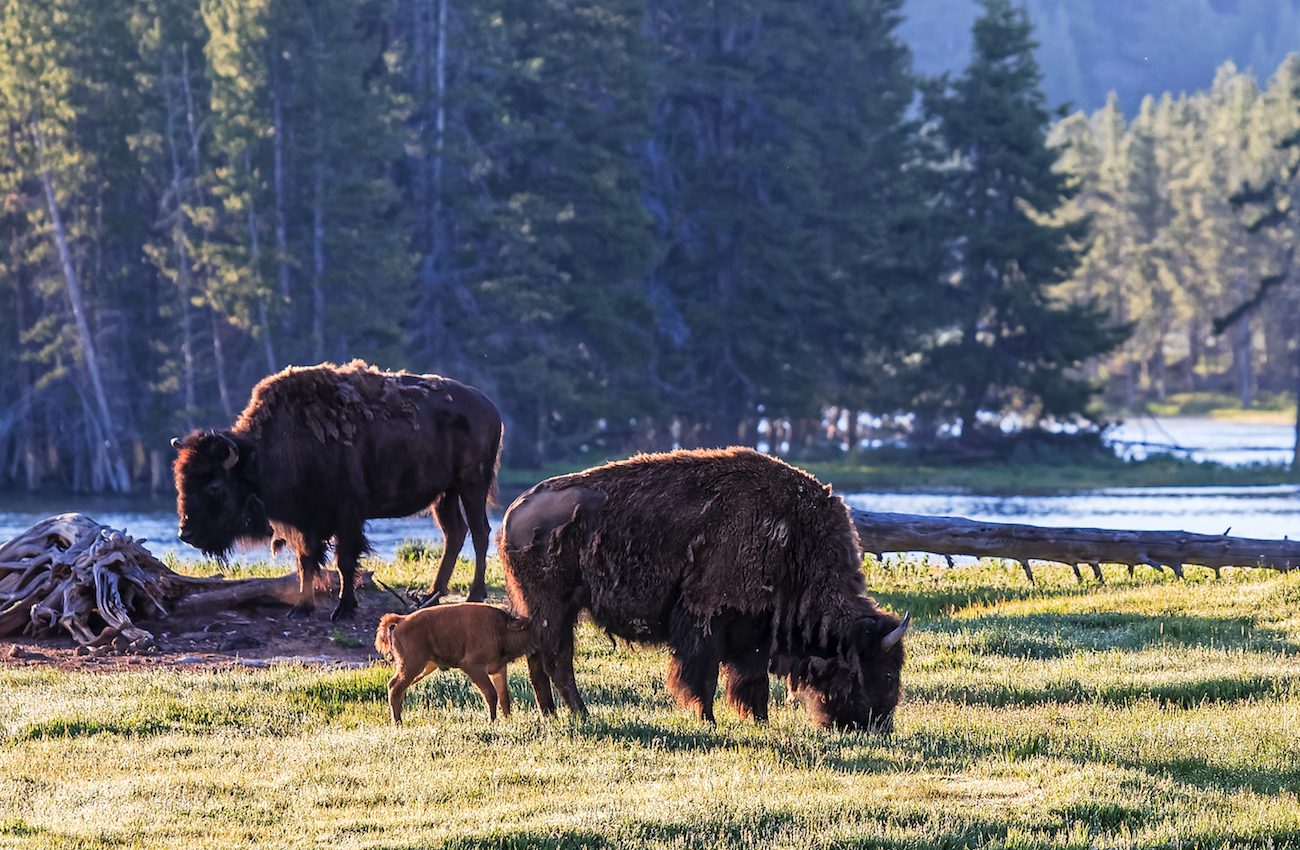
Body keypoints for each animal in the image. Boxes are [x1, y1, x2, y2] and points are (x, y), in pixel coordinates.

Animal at [172, 360, 502, 619]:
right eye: (181, 482)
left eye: (215, 486)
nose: (186, 533)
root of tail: (489, 408)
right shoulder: (305, 522)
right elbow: (306, 561)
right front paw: (301, 608)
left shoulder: (347, 515)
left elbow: (344, 561)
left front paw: (343, 609)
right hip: (444, 495)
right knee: (454, 533)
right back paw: (431, 595)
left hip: (472, 484)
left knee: (480, 531)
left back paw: (475, 594)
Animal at [499, 447, 909, 731]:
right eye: (887, 673)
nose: (879, 727)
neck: (795, 542)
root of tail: (512, 511)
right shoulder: (706, 619)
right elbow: (705, 677)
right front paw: (708, 719)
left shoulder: (754, 633)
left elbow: (751, 681)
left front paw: (760, 721)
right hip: (552, 607)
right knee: (557, 659)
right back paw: (580, 713)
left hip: (553, 609)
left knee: (542, 659)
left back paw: (554, 714)